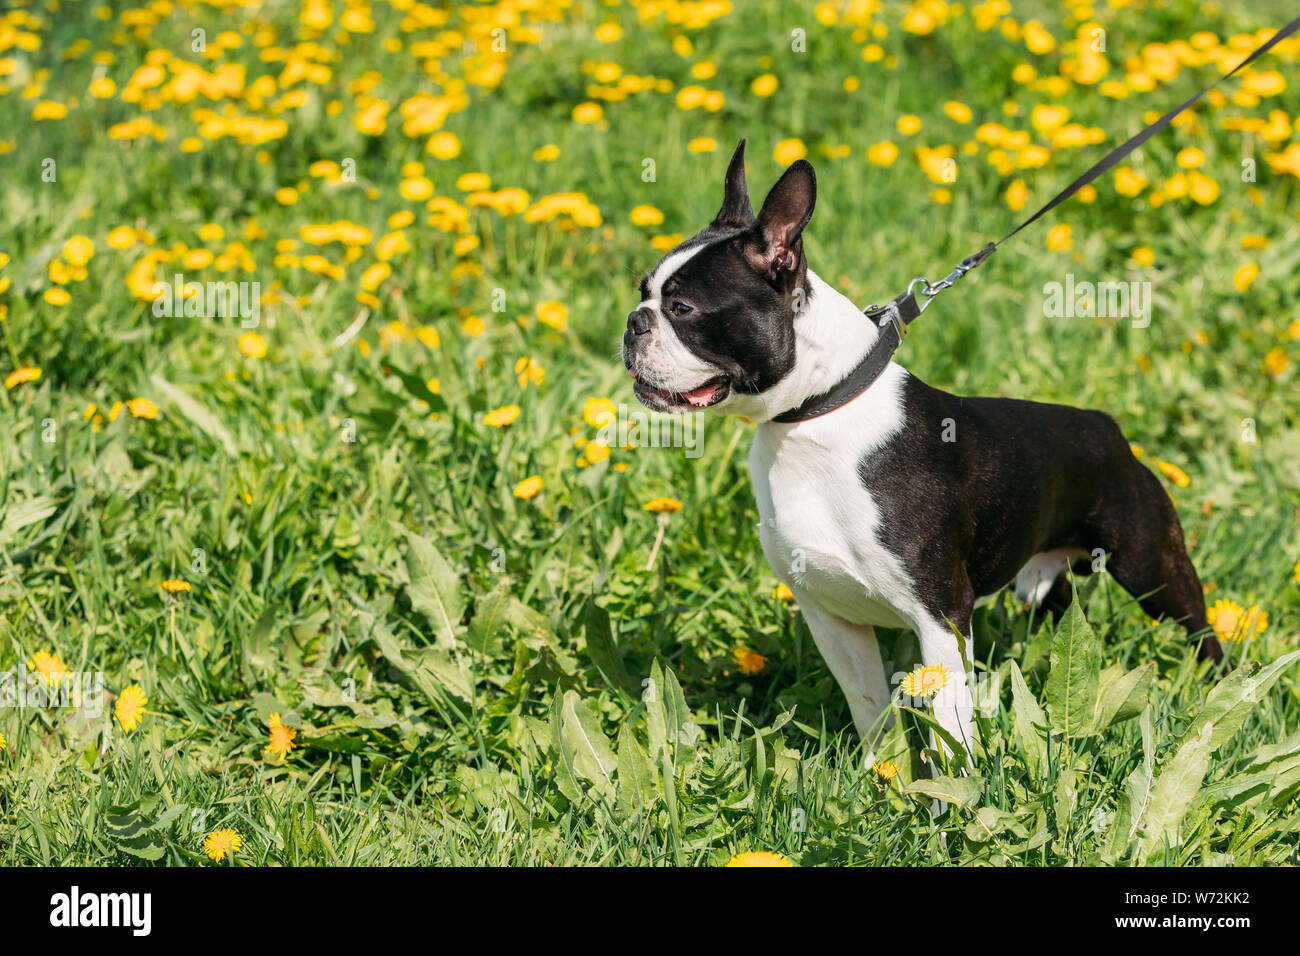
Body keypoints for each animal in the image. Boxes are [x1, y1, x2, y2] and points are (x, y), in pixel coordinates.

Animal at [624, 140, 1222, 754]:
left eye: (682, 310)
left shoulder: (942, 617)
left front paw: (955, 782)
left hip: (1151, 565)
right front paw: (879, 771)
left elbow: (948, 724)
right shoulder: (831, 617)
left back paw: (1214, 690)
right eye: (642, 293)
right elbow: (870, 708)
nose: (633, 323)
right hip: (1042, 583)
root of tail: (1105, 426)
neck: (814, 414)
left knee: (1200, 631)